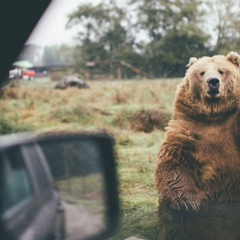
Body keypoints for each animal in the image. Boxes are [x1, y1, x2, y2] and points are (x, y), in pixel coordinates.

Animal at [156, 51, 240, 239]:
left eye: (221, 71)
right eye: (202, 72)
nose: (213, 82)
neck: (214, 115)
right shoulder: (189, 129)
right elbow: (175, 161)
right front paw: (187, 202)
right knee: (177, 222)